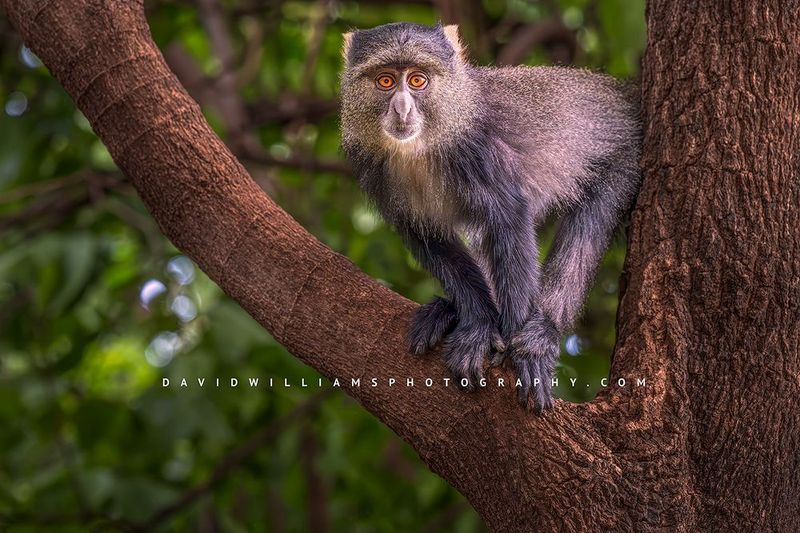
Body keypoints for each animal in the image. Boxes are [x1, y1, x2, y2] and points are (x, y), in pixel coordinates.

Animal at [339, 22, 641, 411]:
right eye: (386, 81)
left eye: (418, 80)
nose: (402, 109)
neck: (421, 148)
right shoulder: (376, 171)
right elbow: (430, 238)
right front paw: (479, 324)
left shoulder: (477, 150)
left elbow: (508, 216)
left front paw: (516, 351)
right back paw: (448, 311)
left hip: (625, 160)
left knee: (587, 229)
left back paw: (543, 332)